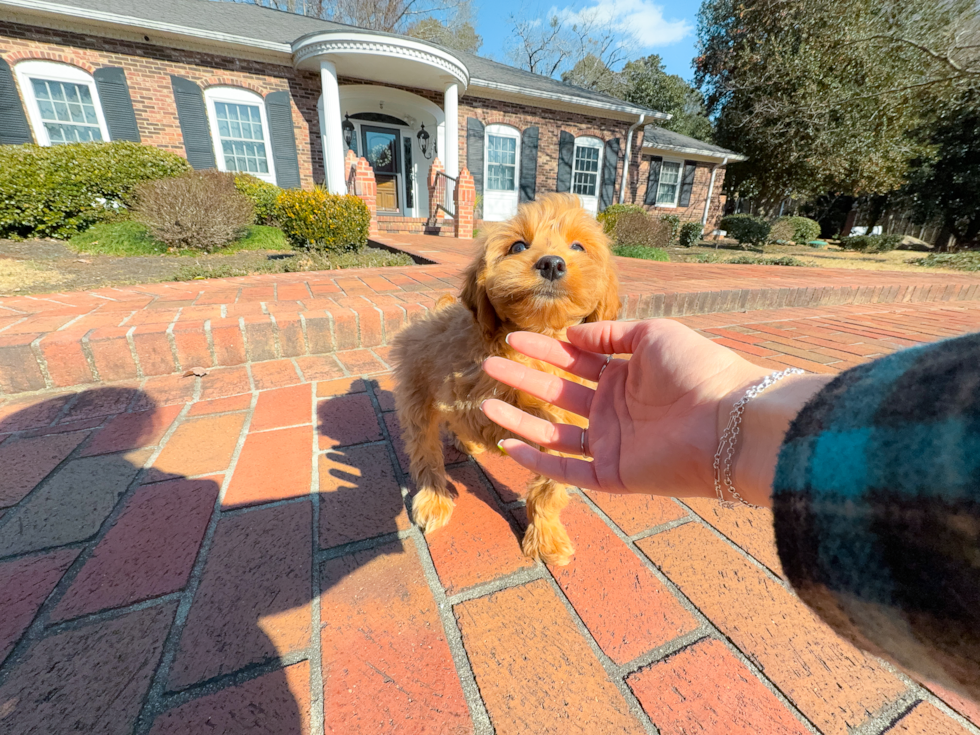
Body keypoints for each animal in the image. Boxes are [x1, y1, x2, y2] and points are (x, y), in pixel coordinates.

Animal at [390, 193, 620, 568]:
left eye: (578, 246)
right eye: (518, 246)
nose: (552, 263)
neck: (536, 336)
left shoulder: (566, 425)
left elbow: (550, 487)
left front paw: (546, 537)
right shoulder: (466, 393)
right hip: (415, 394)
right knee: (425, 450)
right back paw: (434, 497)